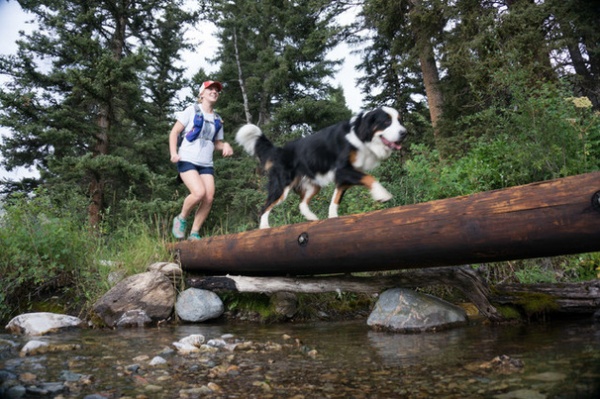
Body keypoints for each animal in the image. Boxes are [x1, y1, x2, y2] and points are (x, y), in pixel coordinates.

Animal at [236, 108, 408, 230]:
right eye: (386, 121)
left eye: (400, 121)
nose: (404, 133)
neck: (360, 134)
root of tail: (279, 150)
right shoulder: (342, 170)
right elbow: (369, 178)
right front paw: (382, 195)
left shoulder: (343, 177)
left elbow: (335, 199)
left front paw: (332, 218)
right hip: (281, 186)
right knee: (265, 206)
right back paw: (264, 226)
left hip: (313, 184)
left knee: (302, 203)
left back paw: (312, 218)